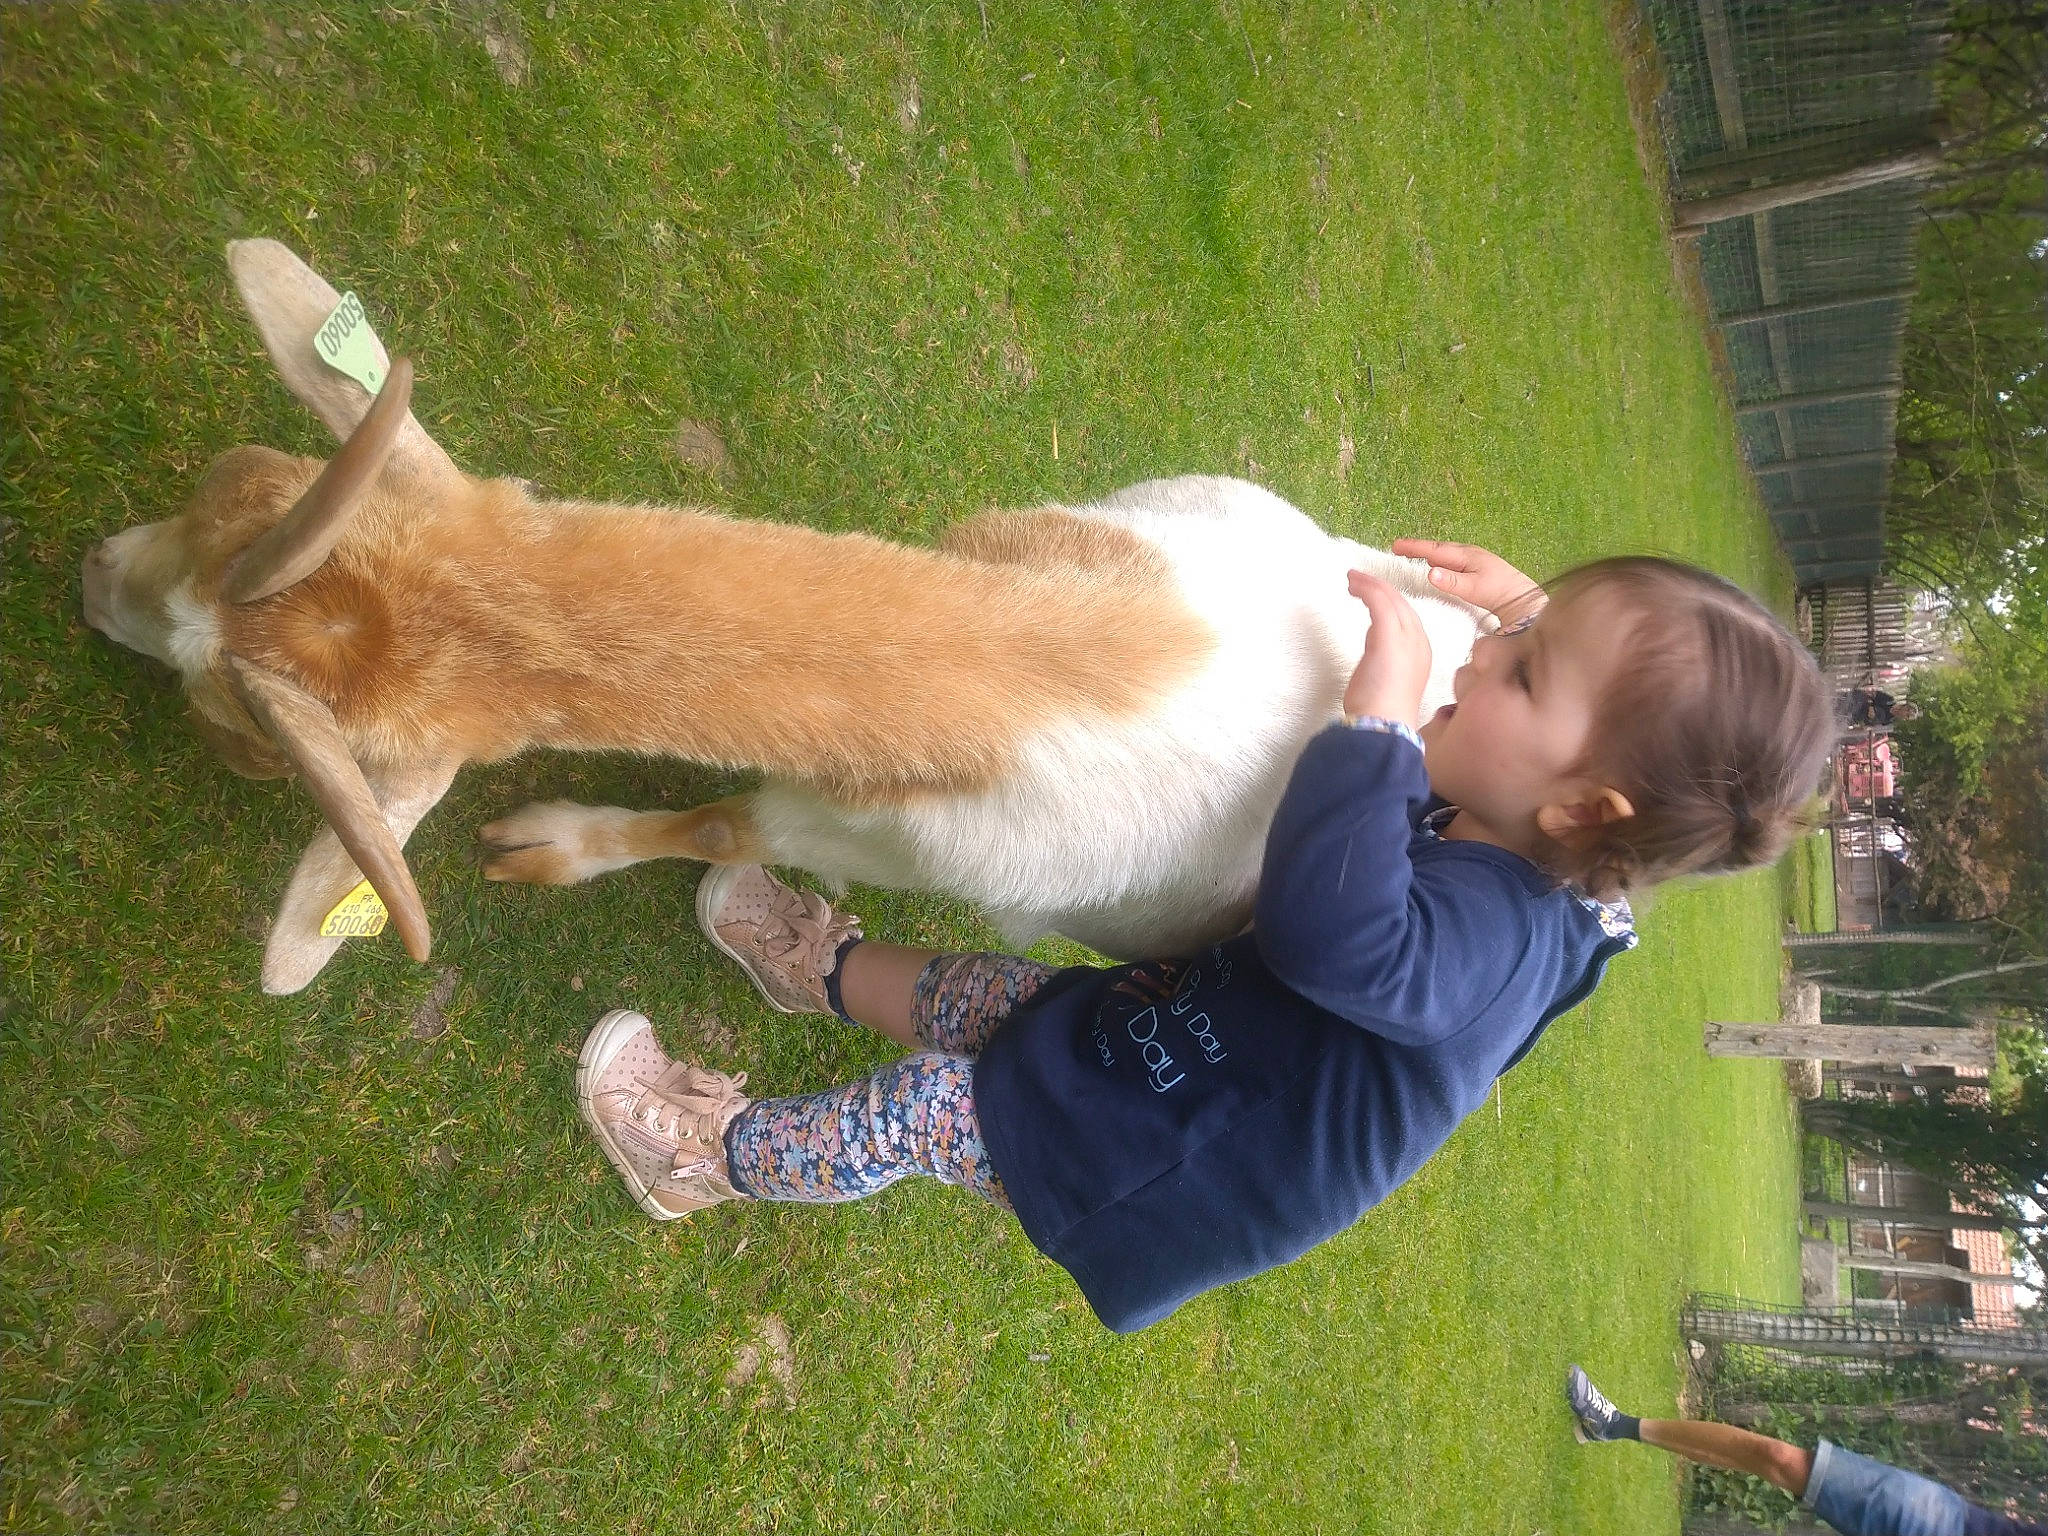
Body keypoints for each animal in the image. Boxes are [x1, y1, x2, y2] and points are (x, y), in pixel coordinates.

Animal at [80, 240, 1486, 996]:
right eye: (230, 481)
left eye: (232, 737)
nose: (90, 578)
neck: (1071, 662)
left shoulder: (877, 837)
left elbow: (719, 825)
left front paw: (546, 845)